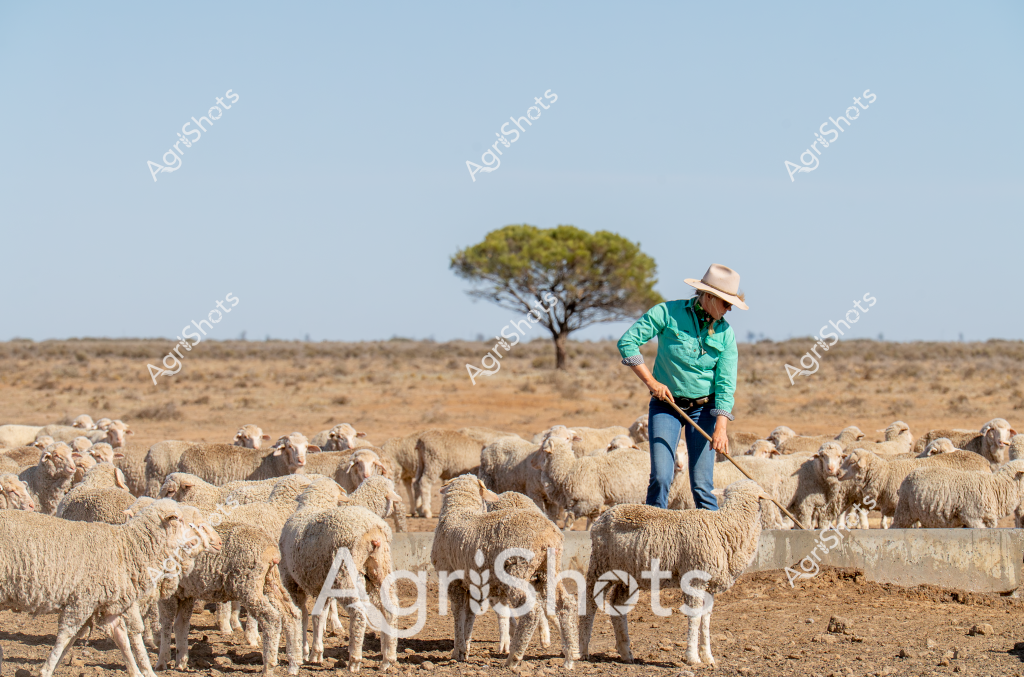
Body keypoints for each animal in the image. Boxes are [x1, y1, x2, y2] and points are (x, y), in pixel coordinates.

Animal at [0, 499, 199, 677]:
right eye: (179, 520)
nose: (195, 540)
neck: (126, 548)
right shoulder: (82, 601)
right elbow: (65, 636)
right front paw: (46, 670)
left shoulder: (106, 603)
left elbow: (120, 637)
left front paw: (136, 671)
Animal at [279, 479, 397, 671]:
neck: (314, 505)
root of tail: (372, 529)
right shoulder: (323, 585)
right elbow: (318, 615)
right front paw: (316, 653)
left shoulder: (291, 581)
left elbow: (301, 615)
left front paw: (303, 651)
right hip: (379, 569)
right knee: (390, 608)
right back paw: (388, 659)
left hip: (344, 574)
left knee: (358, 613)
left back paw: (354, 660)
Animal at [431, 475, 578, 669]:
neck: (459, 512)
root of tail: (549, 535)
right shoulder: (474, 584)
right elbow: (469, 616)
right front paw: (465, 649)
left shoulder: (451, 579)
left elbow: (458, 614)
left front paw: (458, 650)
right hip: (548, 570)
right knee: (565, 604)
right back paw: (569, 657)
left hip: (517, 570)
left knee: (532, 610)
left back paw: (513, 659)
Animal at [581, 480, 767, 666]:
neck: (723, 526)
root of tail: (602, 517)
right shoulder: (695, 580)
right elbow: (695, 618)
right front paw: (693, 658)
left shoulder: (709, 585)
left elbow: (706, 619)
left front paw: (708, 657)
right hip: (601, 566)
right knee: (590, 603)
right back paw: (582, 650)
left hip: (628, 576)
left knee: (617, 606)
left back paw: (626, 653)